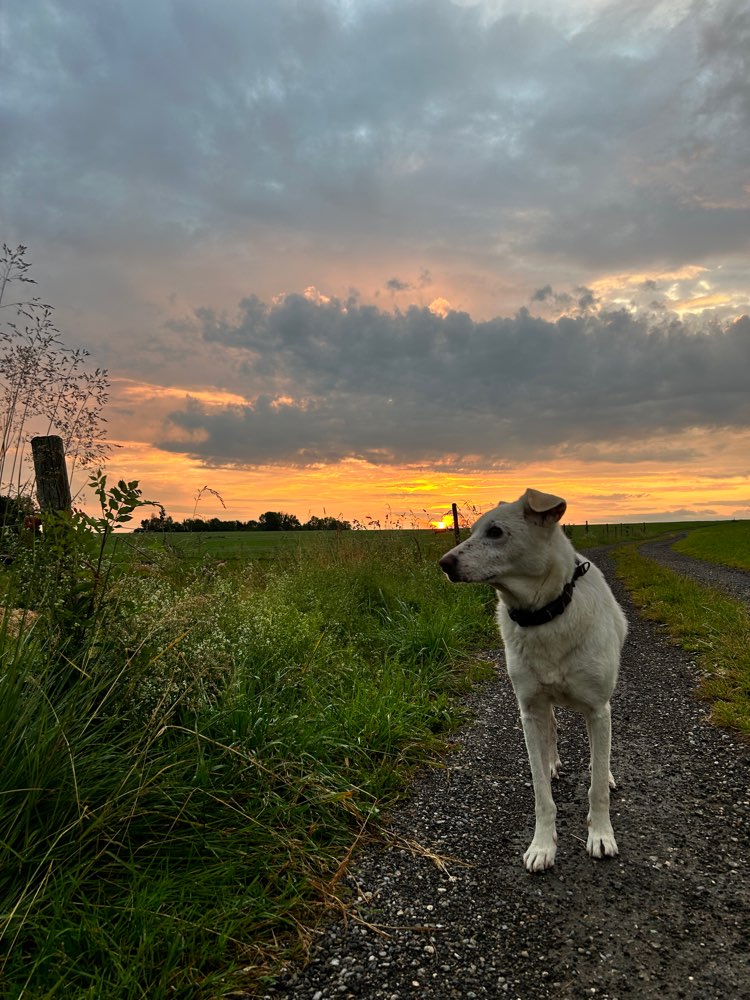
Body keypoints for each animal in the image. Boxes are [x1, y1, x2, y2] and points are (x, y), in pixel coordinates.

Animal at [440, 488, 628, 872]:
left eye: (496, 532)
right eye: (472, 530)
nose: (443, 563)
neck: (545, 615)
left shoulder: (598, 708)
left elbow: (597, 785)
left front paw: (601, 834)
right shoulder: (528, 711)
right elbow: (542, 791)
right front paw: (542, 845)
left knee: (599, 755)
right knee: (552, 729)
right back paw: (553, 761)